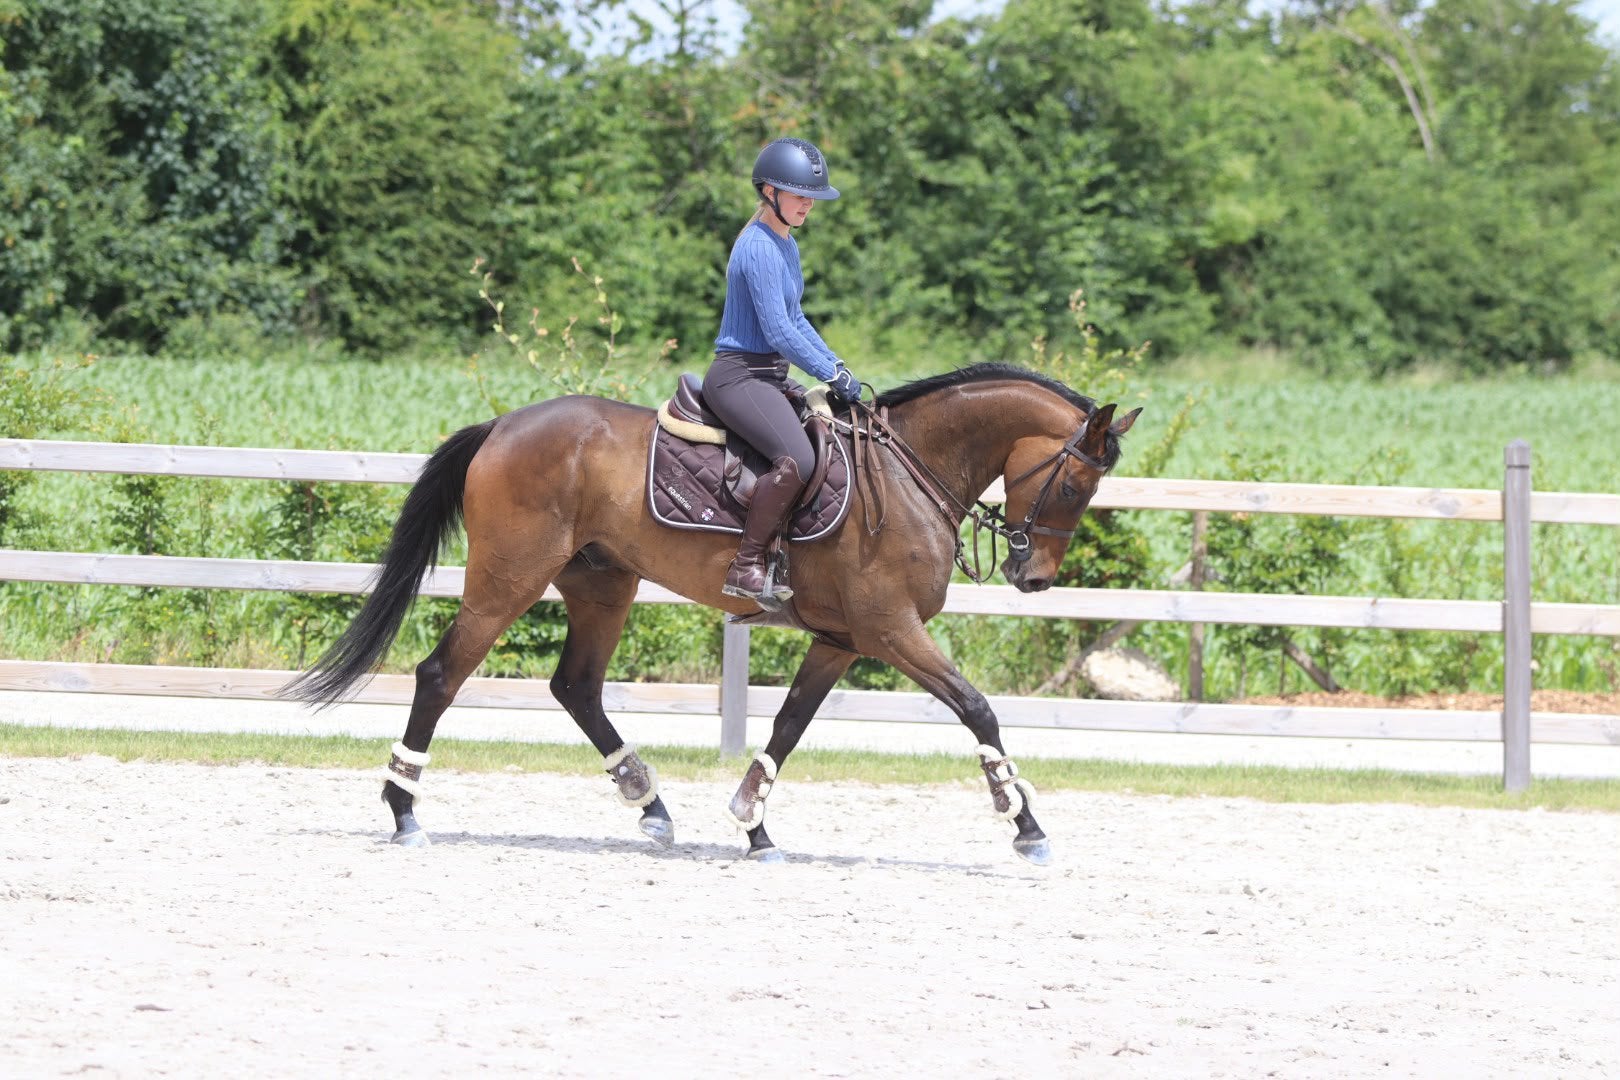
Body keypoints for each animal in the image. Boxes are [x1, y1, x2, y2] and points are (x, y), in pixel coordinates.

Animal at [284, 362, 1139, 865]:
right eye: (1075, 484)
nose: (1034, 576)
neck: (906, 472)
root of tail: (504, 425)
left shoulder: (842, 640)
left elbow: (787, 727)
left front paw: (752, 822)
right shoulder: (892, 631)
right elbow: (977, 708)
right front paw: (1022, 819)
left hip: (602, 585)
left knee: (577, 688)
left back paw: (650, 805)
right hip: (507, 581)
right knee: (441, 675)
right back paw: (404, 810)